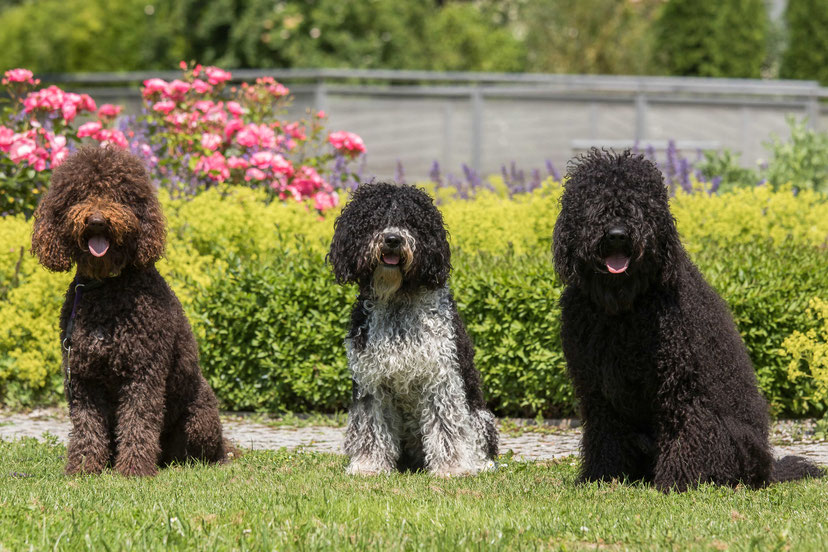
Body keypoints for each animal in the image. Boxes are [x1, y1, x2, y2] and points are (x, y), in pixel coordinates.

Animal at [32, 148, 228, 478]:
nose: (97, 221)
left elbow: (138, 420)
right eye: (79, 194)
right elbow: (87, 426)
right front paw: (84, 466)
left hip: (199, 418)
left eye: (118, 194)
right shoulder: (83, 376)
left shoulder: (143, 371)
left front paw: (134, 469)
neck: (106, 287)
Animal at [328, 183, 498, 476]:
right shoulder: (371, 381)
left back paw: (480, 463)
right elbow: (371, 427)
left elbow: (446, 427)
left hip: (480, 417)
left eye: (411, 221)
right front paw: (368, 465)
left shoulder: (441, 376)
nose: (392, 239)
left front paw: (452, 467)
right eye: (374, 220)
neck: (397, 299)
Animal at [552, 150, 820, 492]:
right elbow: (604, 434)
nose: (617, 234)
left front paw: (677, 481)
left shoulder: (681, 385)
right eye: (594, 203)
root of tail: (769, 470)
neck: (624, 309)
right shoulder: (598, 390)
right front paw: (602, 476)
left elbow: (685, 431)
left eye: (641, 204)